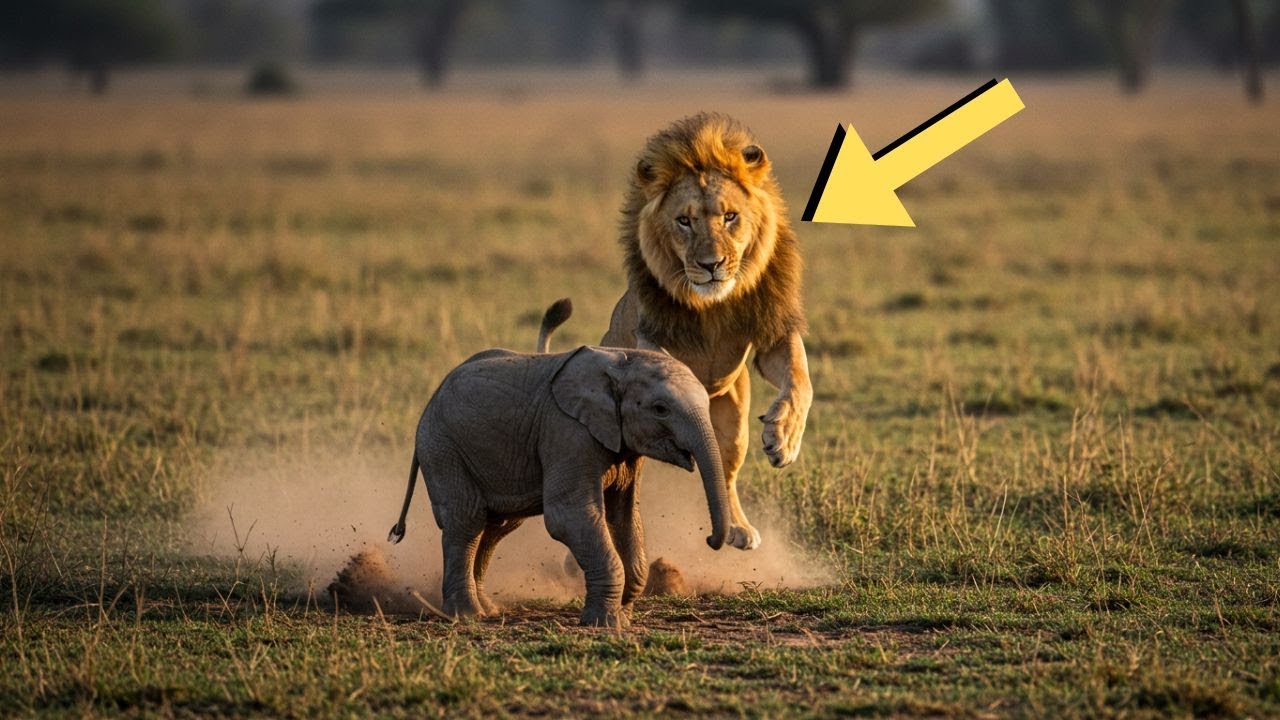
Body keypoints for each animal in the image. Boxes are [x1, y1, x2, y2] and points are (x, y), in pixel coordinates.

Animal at [389, 301, 729, 628]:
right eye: (660, 409)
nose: (710, 539)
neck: (623, 362)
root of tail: (431, 400)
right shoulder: (567, 432)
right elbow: (569, 515)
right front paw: (604, 623)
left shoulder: (625, 449)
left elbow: (625, 518)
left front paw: (622, 614)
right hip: (442, 447)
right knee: (466, 519)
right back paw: (466, 615)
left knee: (497, 525)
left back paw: (488, 610)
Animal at [602, 113, 812, 550]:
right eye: (684, 221)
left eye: (730, 217)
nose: (711, 264)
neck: (712, 306)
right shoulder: (650, 338)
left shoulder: (773, 335)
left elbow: (801, 379)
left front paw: (784, 438)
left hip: (734, 418)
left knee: (725, 470)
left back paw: (738, 528)